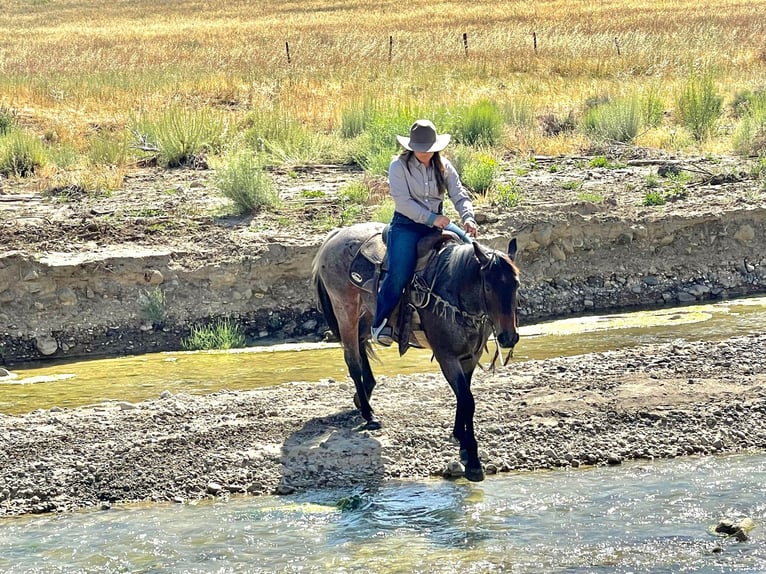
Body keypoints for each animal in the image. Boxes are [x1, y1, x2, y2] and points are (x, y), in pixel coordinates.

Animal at [312, 223, 520, 484]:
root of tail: (336, 235)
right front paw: (472, 460)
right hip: (345, 310)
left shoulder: (470, 357)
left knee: (361, 344)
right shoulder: (446, 357)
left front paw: (461, 441)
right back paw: (369, 415)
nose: (508, 337)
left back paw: (363, 398)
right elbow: (467, 400)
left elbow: (464, 398)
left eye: (516, 284)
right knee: (353, 360)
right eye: (489, 287)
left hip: (367, 312)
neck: (453, 290)